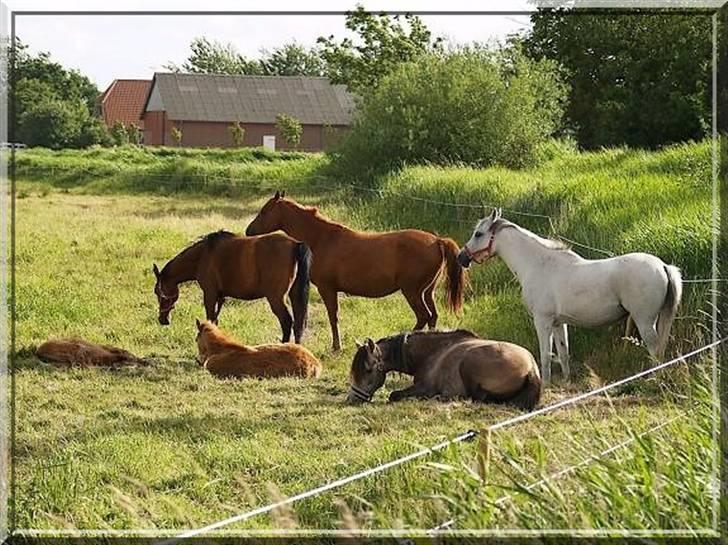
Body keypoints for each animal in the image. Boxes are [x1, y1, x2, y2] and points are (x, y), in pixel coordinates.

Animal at [152, 228, 312, 340]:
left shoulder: (210, 294)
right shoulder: (220, 296)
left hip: (276, 299)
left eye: (158, 292)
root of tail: (296, 244)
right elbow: (215, 320)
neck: (203, 255)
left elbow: (210, 318)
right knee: (299, 324)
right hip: (294, 295)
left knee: (287, 322)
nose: (163, 319)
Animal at [243, 193, 460, 350]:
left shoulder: (327, 289)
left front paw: (336, 346)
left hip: (413, 292)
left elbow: (333, 316)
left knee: (423, 316)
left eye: (264, 211)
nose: (248, 231)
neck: (322, 238)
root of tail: (437, 241)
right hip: (427, 292)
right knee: (432, 316)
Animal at [346, 328, 540, 408]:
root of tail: (531, 369)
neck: (433, 351)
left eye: (368, 370)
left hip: (468, 364)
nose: (351, 399)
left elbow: (394, 395)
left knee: (475, 397)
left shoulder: (424, 387)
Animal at [460, 207, 684, 382]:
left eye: (478, 234)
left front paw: (546, 384)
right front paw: (567, 382)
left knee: (655, 351)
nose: (462, 257)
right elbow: (563, 353)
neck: (538, 264)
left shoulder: (543, 322)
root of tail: (663, 266)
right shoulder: (559, 323)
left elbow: (545, 355)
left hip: (645, 321)